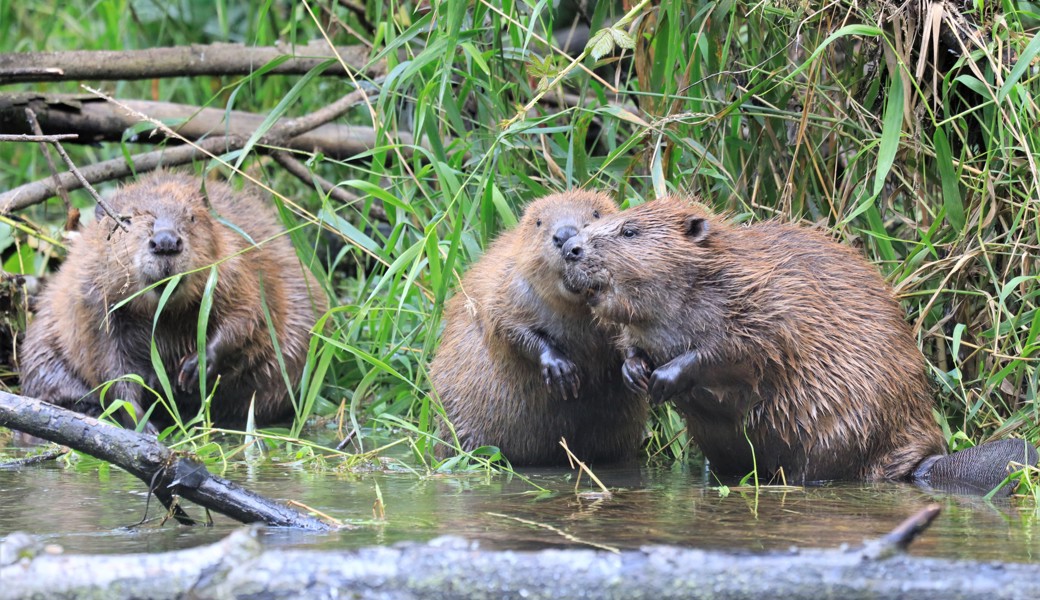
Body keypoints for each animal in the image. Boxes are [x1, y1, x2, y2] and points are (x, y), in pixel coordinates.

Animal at [21, 170, 328, 428]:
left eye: (191, 216)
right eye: (126, 220)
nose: (166, 243)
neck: (163, 311)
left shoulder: (236, 265)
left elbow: (248, 314)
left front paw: (193, 367)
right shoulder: (91, 300)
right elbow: (106, 362)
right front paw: (141, 422)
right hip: (40, 347)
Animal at [428, 189, 640, 465]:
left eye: (596, 213)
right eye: (539, 222)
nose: (566, 235)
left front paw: (635, 368)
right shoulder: (510, 285)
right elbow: (506, 325)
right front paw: (561, 370)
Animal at [565, 194, 1035, 484]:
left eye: (629, 232)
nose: (571, 248)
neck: (715, 272)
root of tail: (925, 462)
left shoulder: (773, 299)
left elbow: (742, 349)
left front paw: (665, 377)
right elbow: (628, 341)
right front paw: (634, 371)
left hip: (837, 427)